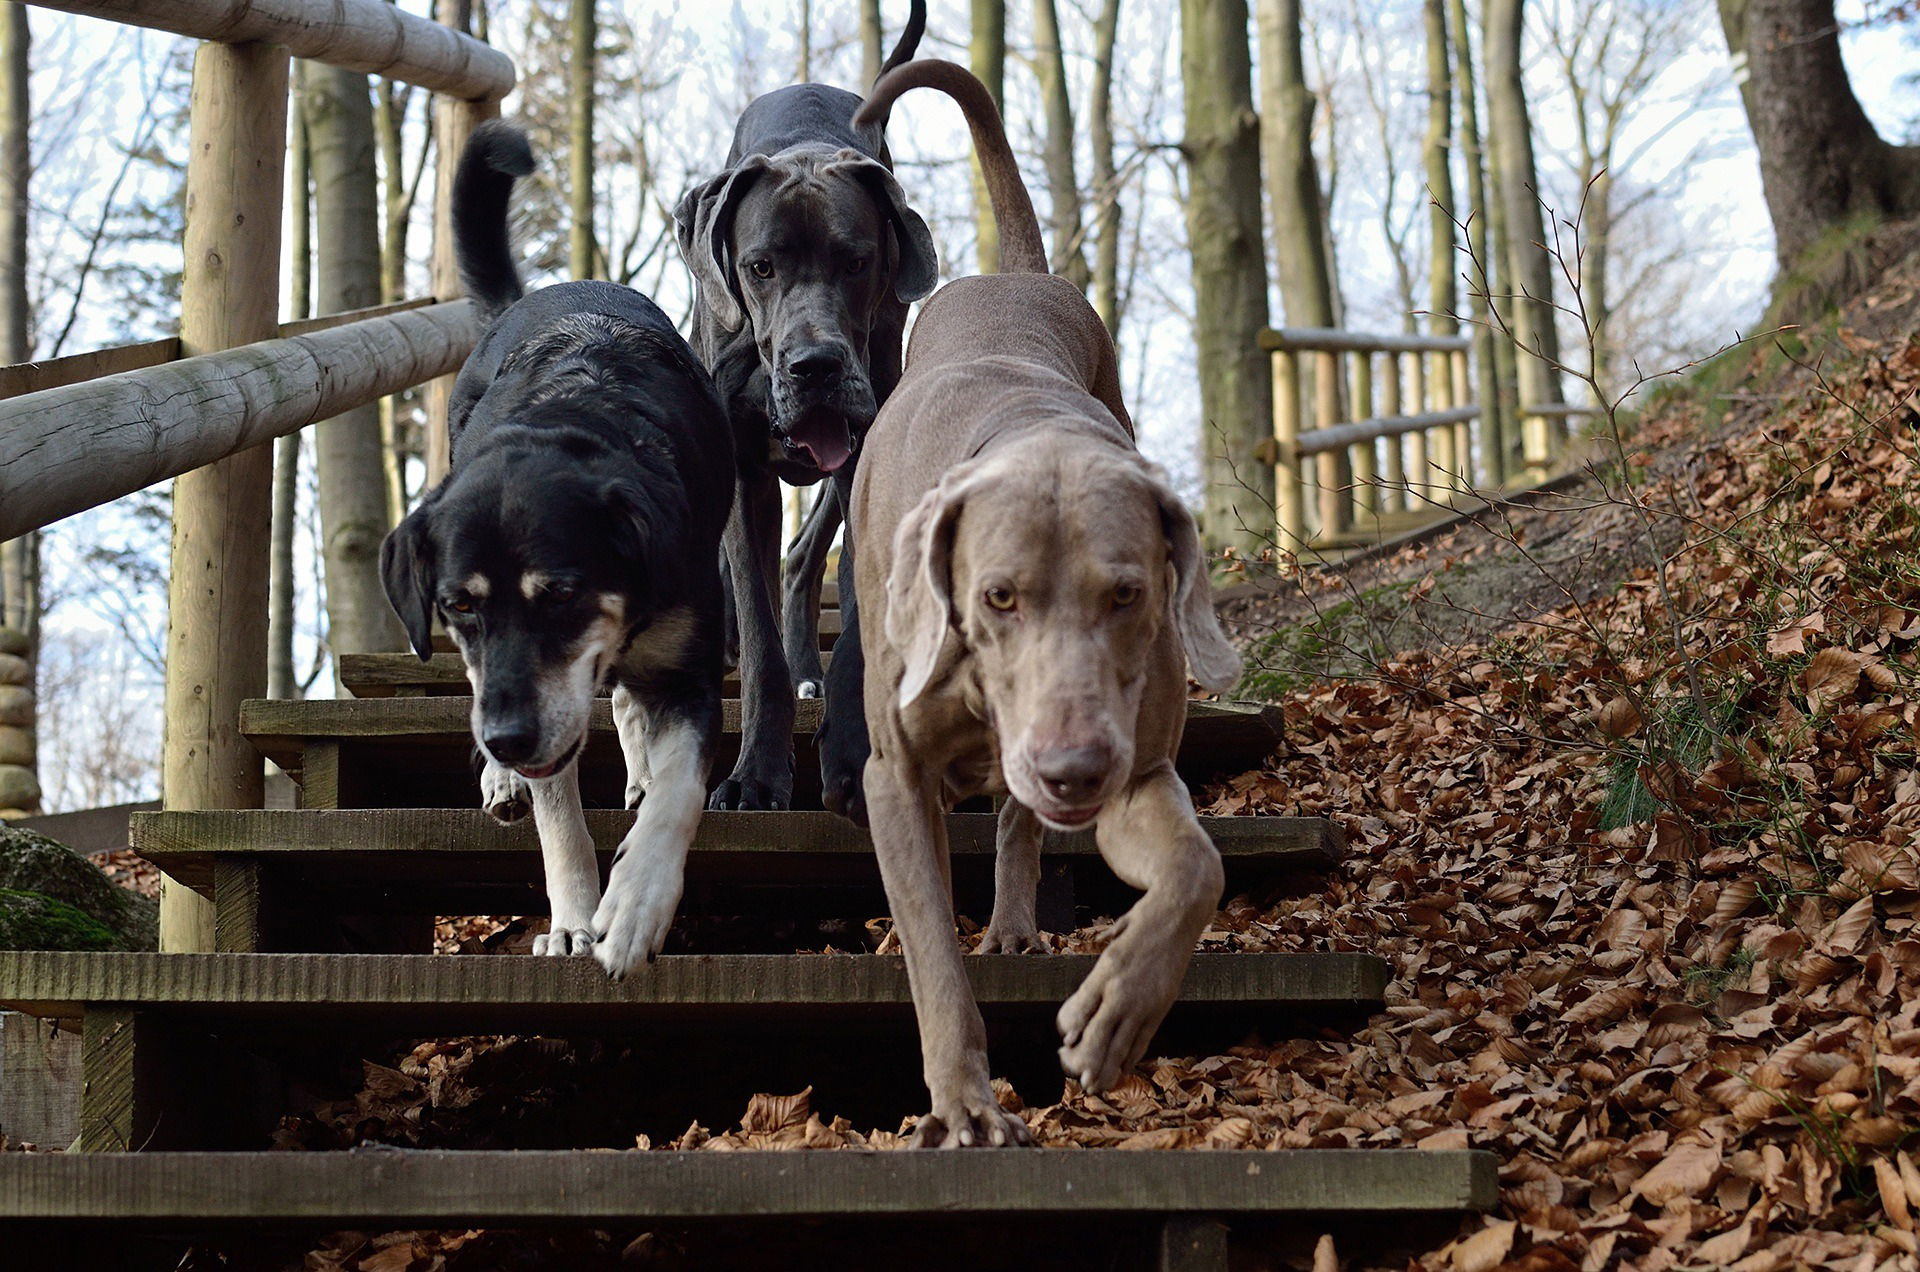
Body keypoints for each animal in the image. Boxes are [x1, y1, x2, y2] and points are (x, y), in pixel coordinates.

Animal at [382, 122, 733, 976]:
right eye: (457, 606)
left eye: (566, 594)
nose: (506, 740)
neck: (575, 414)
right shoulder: (533, 699)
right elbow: (558, 818)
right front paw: (575, 920)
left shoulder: (688, 668)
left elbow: (680, 791)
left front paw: (637, 905)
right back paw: (504, 784)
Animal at [679, 0, 933, 826]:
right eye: (760, 267)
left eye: (857, 262)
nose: (814, 366)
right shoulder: (741, 469)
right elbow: (757, 636)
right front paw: (757, 776)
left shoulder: (864, 455)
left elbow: (856, 613)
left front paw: (851, 760)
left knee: (800, 560)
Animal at [848, 62, 1236, 1152]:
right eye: (998, 597)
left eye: (1130, 594)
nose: (1072, 767)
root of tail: (1007, 271)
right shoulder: (894, 771)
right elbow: (933, 952)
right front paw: (964, 1102)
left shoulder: (1137, 768)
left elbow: (1195, 867)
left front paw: (1118, 1007)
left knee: (1021, 825)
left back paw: (1019, 924)